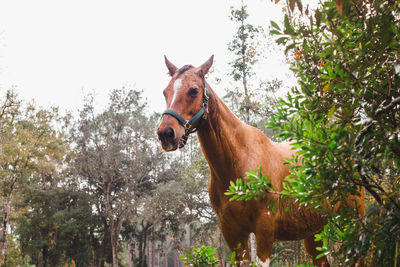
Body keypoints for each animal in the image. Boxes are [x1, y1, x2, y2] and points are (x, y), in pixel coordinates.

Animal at [157, 55, 366, 266]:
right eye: (165, 91)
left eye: (194, 90)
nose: (166, 133)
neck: (240, 160)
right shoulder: (233, 233)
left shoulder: (264, 230)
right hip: (314, 232)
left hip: (352, 221)